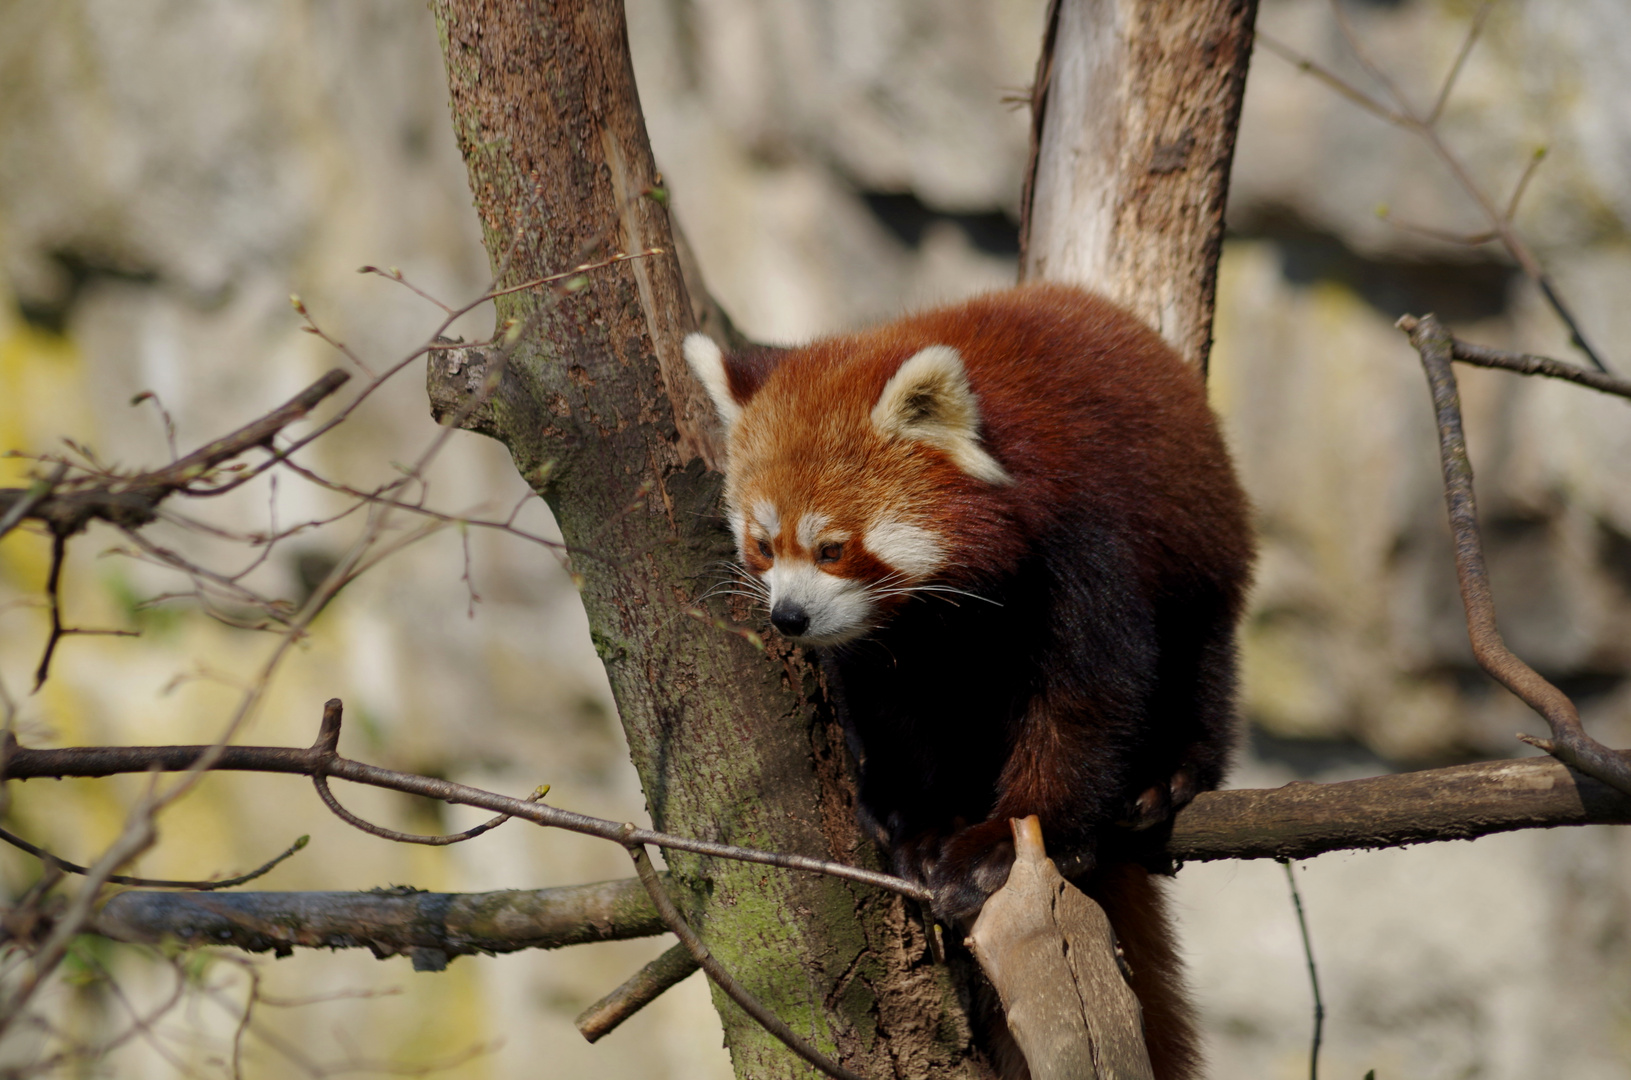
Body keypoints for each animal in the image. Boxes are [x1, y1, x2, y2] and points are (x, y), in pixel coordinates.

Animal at [681, 283, 1252, 1076]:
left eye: (831, 549)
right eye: (764, 546)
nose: (788, 617)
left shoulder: (1086, 541)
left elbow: (1089, 699)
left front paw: (1009, 843)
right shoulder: (893, 640)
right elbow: (894, 714)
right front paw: (922, 827)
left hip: (1196, 543)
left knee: (1200, 661)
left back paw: (1166, 773)